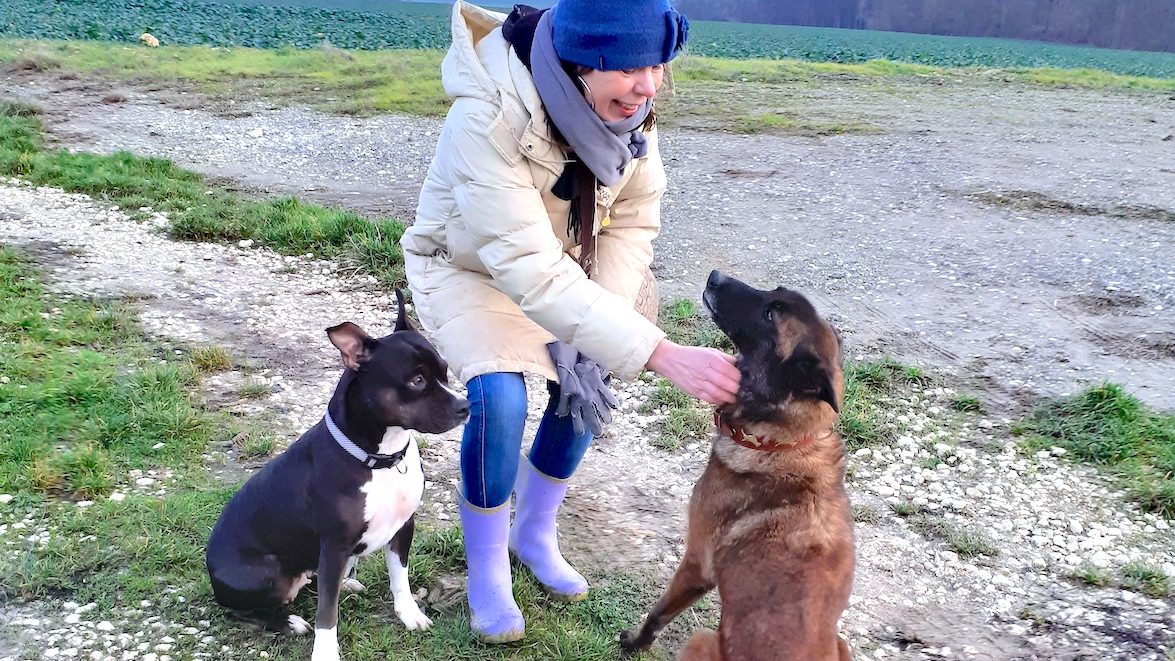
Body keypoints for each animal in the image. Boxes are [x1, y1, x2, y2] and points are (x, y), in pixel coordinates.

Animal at [205, 291, 469, 661]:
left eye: (444, 371)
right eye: (417, 380)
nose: (465, 406)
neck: (380, 459)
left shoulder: (403, 527)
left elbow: (400, 579)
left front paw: (409, 614)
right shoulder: (333, 545)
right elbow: (327, 613)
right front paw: (326, 652)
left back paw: (346, 583)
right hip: (265, 573)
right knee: (239, 609)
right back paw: (288, 621)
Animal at [619, 270, 854, 661]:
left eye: (772, 314)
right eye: (776, 293)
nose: (715, 276)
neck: (777, 443)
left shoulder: (696, 564)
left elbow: (657, 613)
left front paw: (636, 643)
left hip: (701, 639)